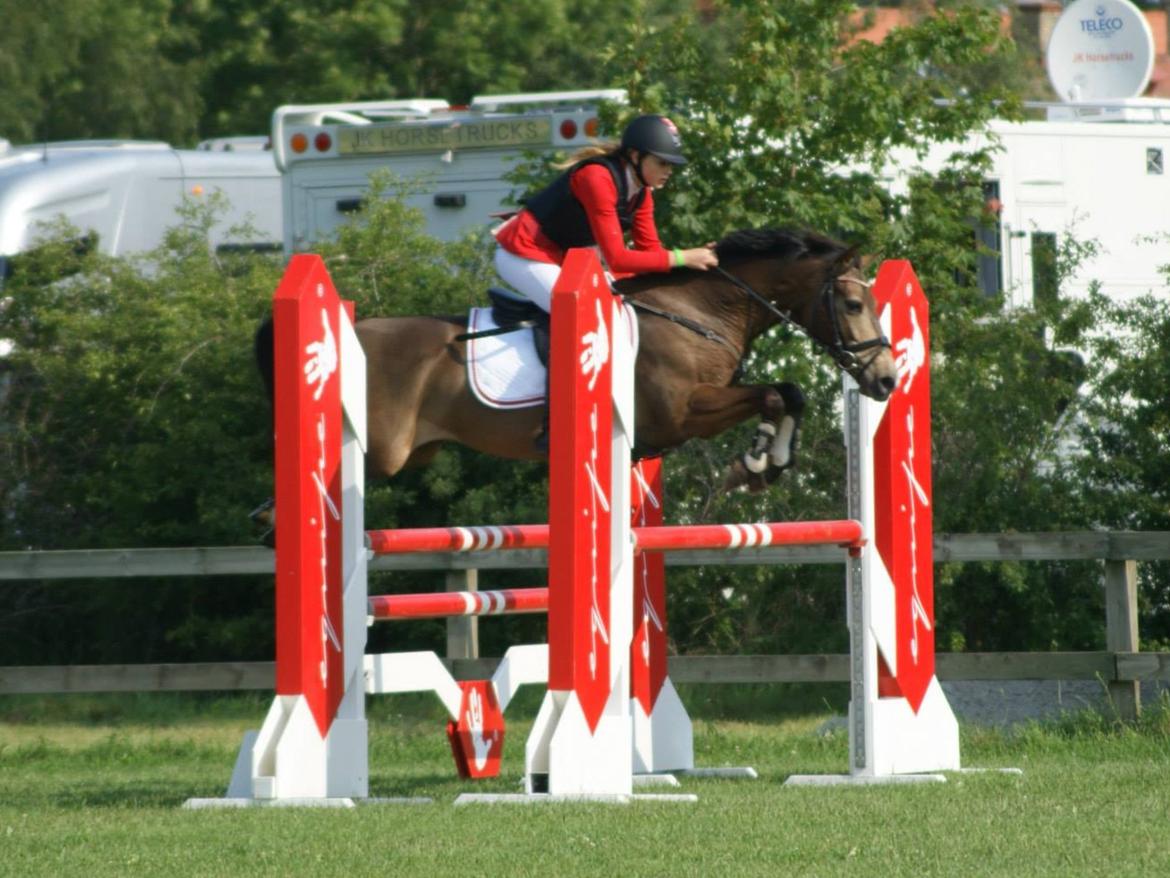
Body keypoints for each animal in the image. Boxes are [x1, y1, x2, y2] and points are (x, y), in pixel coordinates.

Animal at [257, 227, 897, 494]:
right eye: (853, 304)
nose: (888, 380)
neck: (697, 311)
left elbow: (790, 393)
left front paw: (769, 462)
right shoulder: (679, 416)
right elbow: (773, 393)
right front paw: (758, 461)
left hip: (414, 452)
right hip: (383, 451)